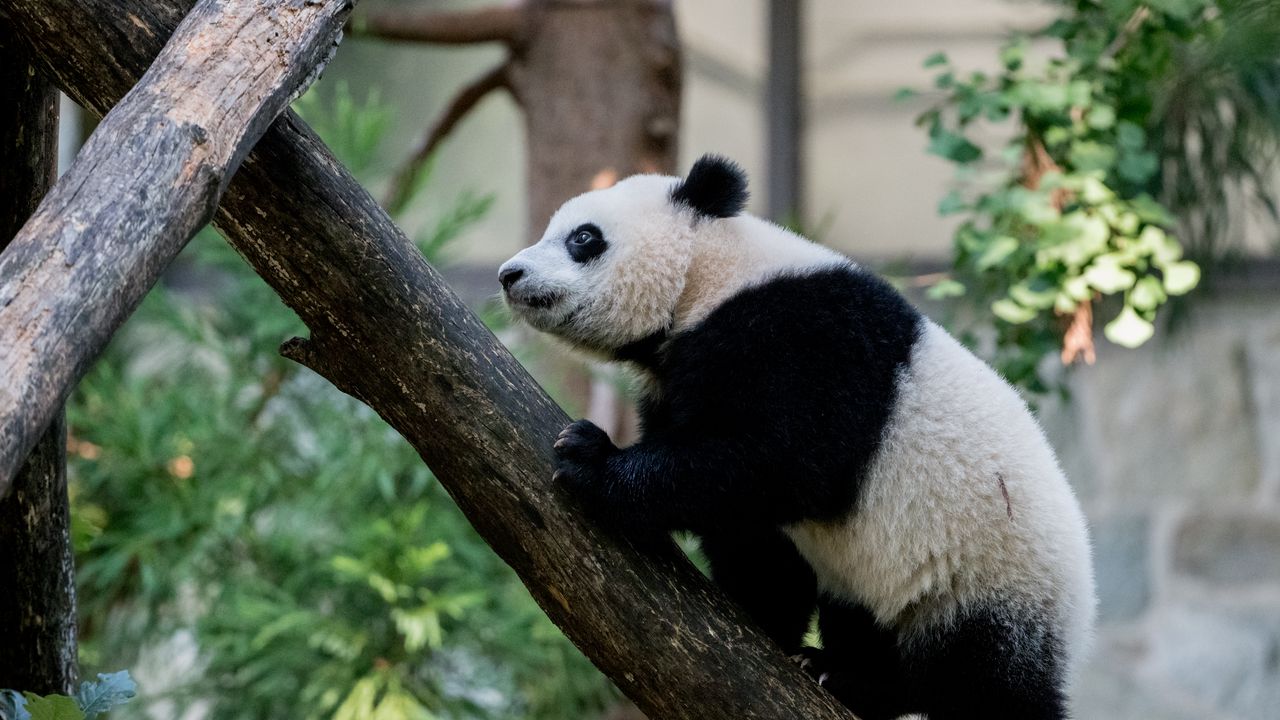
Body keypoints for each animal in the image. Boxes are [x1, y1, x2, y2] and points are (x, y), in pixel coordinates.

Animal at [494, 154, 1095, 712]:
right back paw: (843, 672)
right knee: (862, 617)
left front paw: (591, 458)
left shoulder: (808, 338)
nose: (508, 275)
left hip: (991, 576)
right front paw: (758, 618)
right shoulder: (679, 379)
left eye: (583, 237)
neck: (709, 278)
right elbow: (753, 530)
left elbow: (781, 463)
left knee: (981, 679)